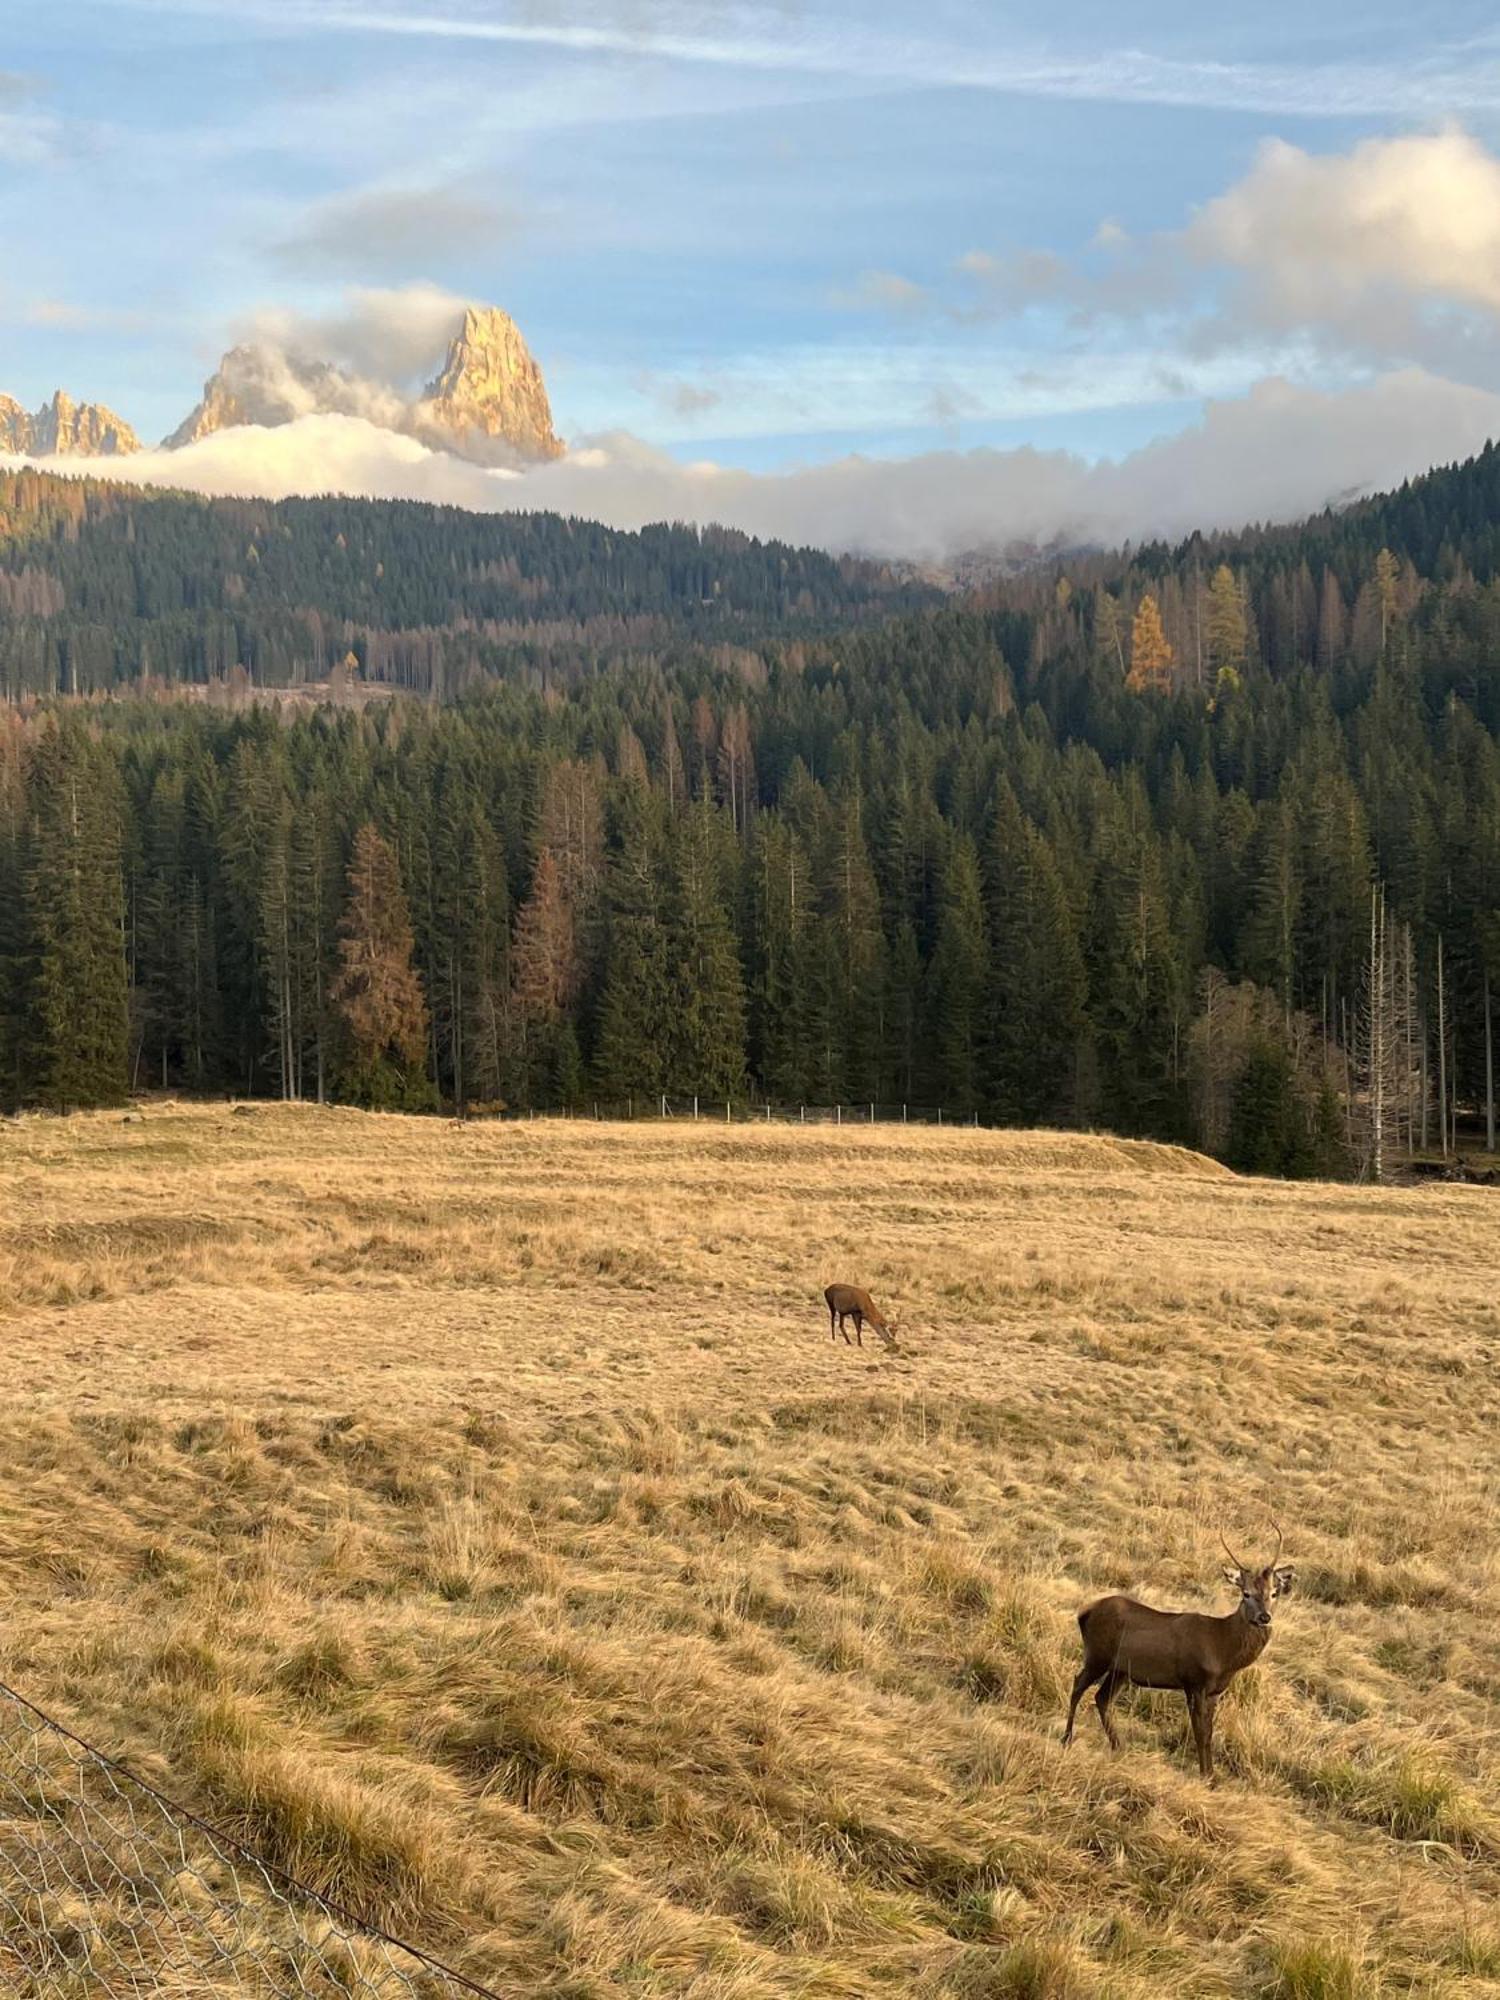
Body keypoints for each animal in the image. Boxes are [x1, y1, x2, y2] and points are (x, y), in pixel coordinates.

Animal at [1064, 1528, 1296, 1784]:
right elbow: (1200, 1732)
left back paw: (1117, 1745)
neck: (1222, 1651)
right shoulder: (1194, 1681)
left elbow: (1209, 1733)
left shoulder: (1215, 1691)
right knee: (1078, 1685)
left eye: (1273, 1593)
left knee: (1102, 1698)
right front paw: (1206, 1776)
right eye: (1246, 1593)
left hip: (1121, 1670)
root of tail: (1084, 1613)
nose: (1264, 1617)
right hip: (1097, 1654)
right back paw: (1067, 1738)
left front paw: (1211, 1775)